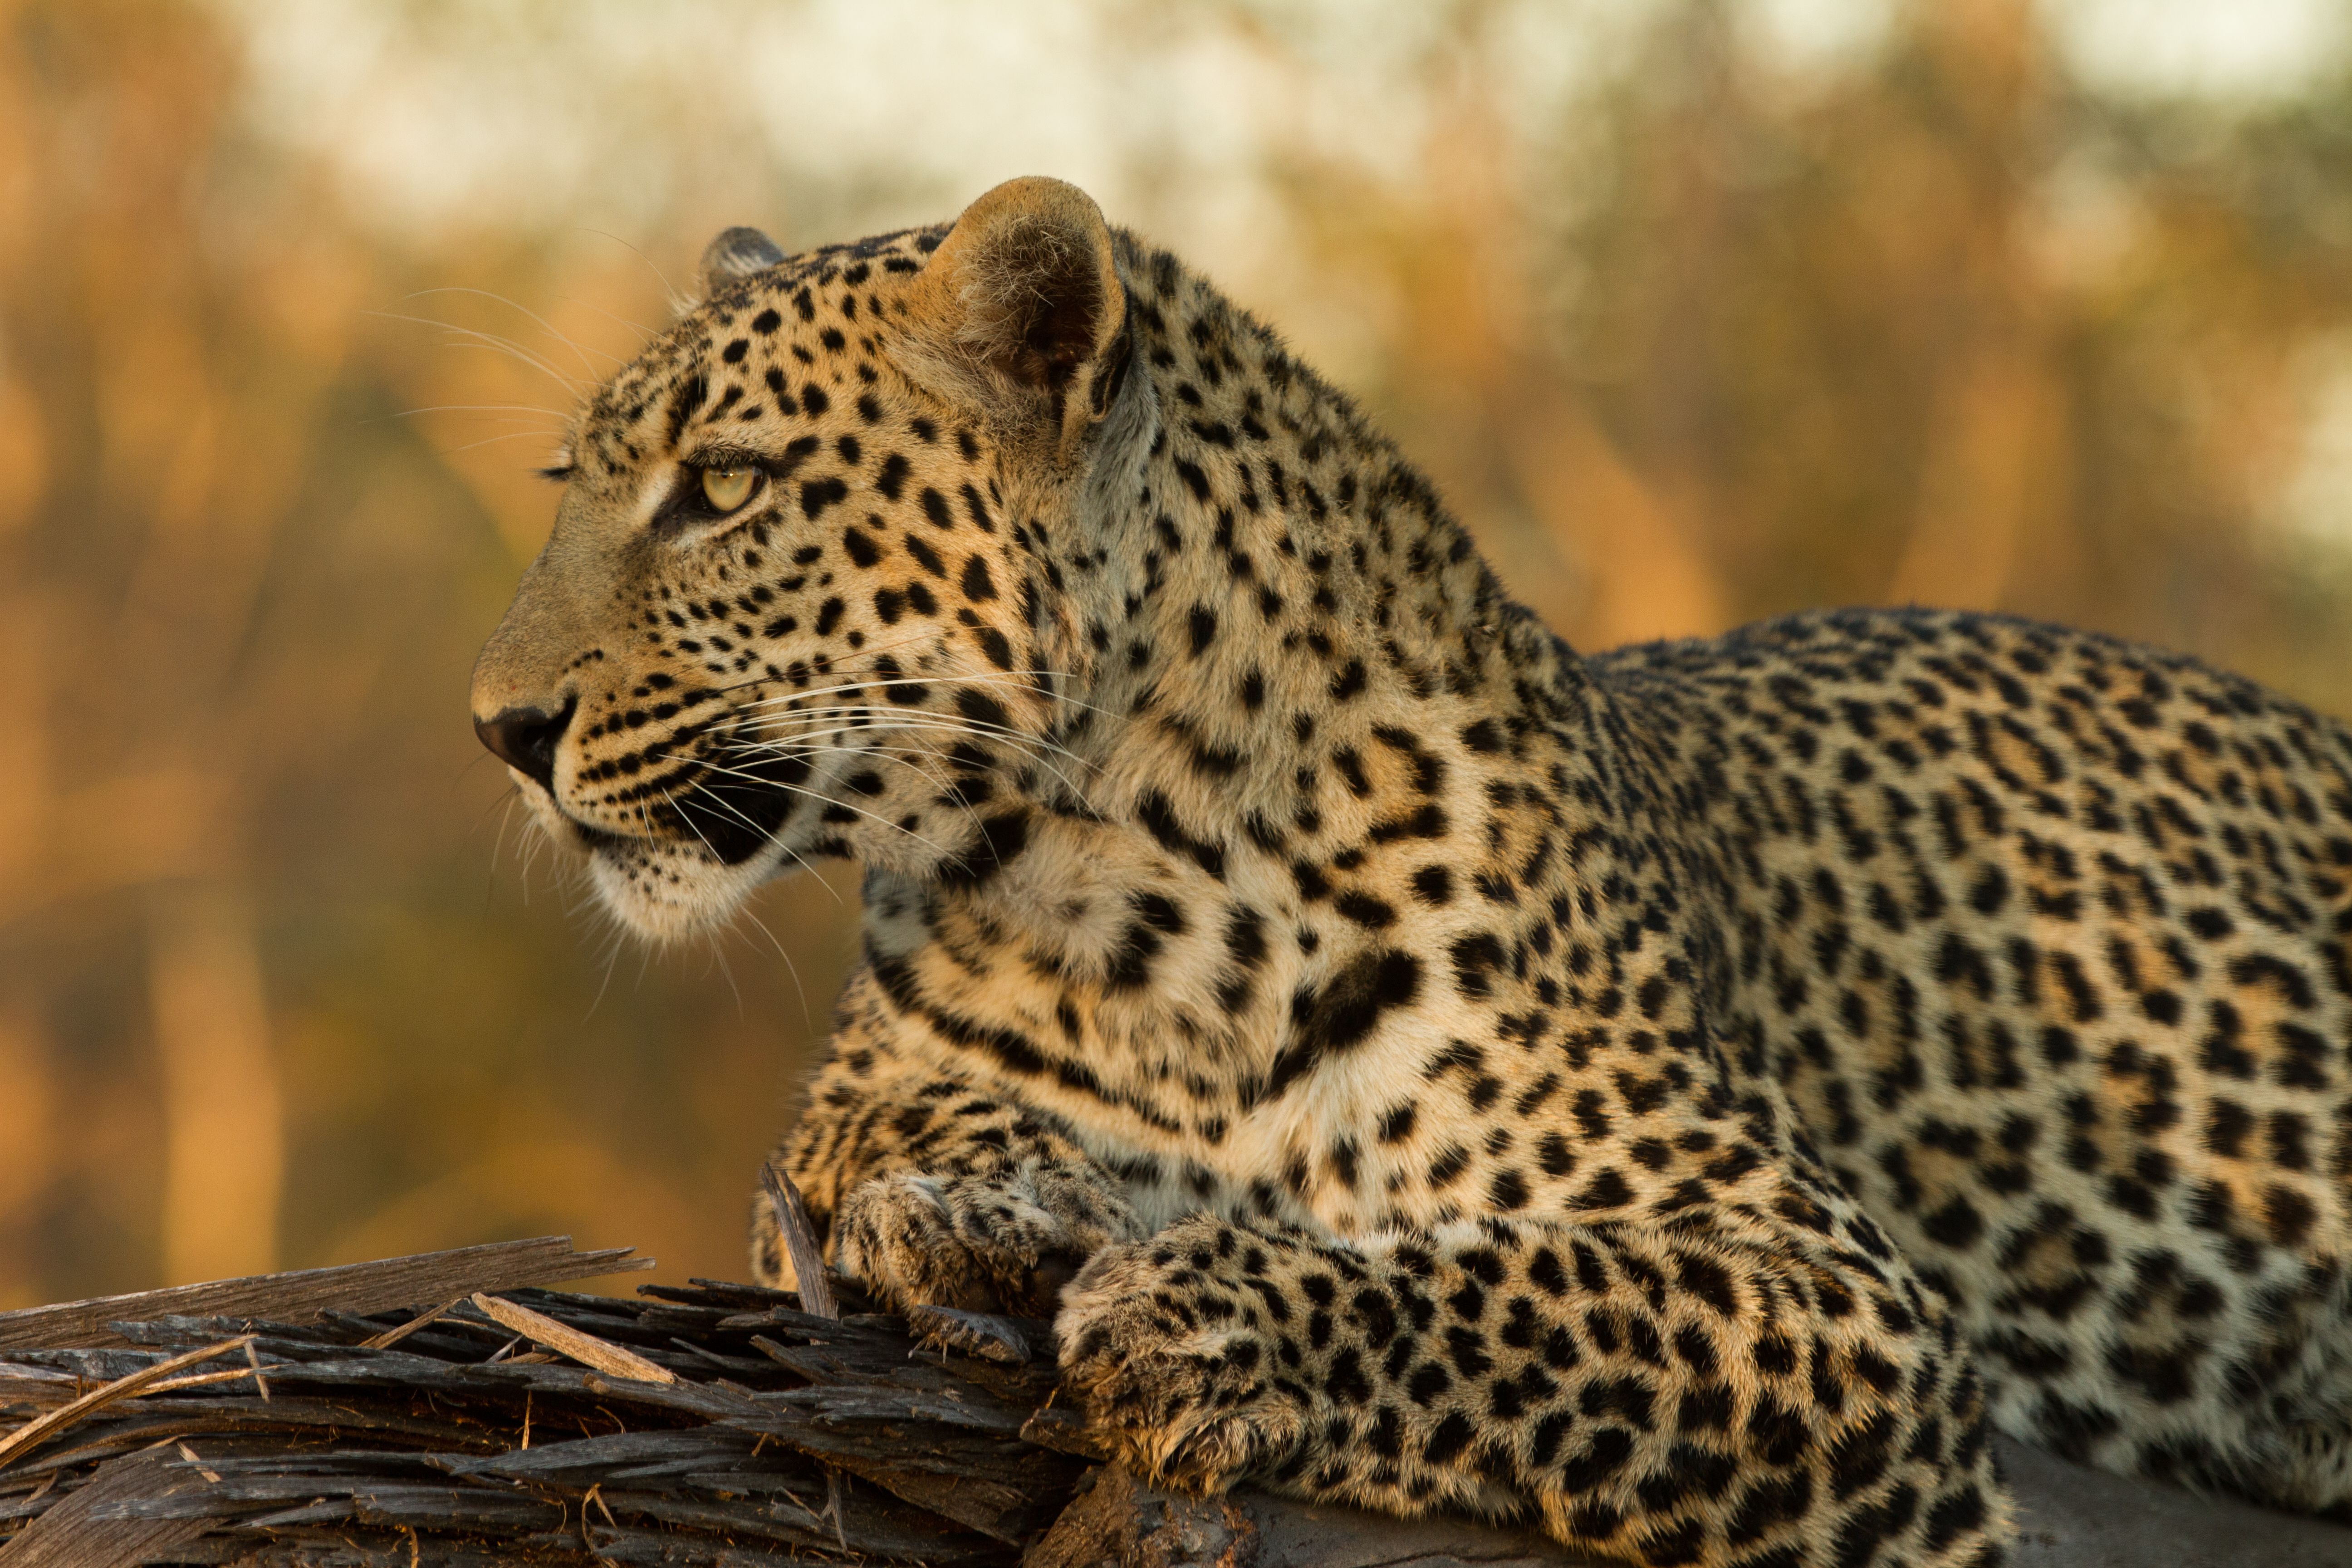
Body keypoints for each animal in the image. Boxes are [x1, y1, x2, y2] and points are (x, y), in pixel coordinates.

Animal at [469, 176, 2352, 1567]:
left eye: (723, 486)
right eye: (572, 484)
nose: (499, 728)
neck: (1109, 891)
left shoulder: (1833, 1297)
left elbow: (1541, 1293)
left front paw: (1214, 1316)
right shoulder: (860, 1089)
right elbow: (879, 1134)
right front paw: (976, 1214)